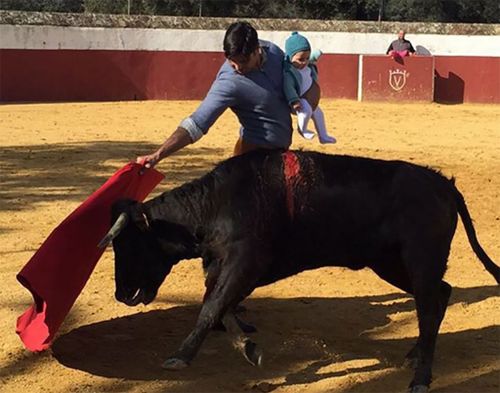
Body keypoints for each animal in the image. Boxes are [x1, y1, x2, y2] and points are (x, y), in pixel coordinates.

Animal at [99, 149, 498, 390]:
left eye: (128, 244)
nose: (120, 294)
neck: (215, 205)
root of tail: (443, 184)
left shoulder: (245, 262)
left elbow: (211, 307)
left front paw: (180, 357)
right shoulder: (227, 267)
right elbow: (219, 306)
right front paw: (249, 347)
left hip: (419, 259)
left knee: (429, 306)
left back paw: (421, 377)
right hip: (390, 263)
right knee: (439, 295)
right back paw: (415, 353)